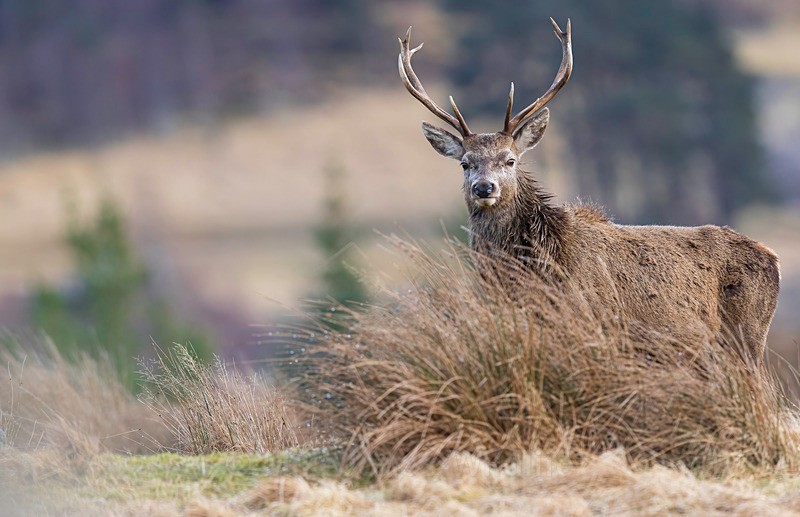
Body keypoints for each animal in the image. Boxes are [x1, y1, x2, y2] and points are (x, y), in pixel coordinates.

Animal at [398, 18, 780, 365]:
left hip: (747, 335)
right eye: (465, 163)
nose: (484, 187)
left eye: (510, 159)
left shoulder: (596, 320)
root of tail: (773, 258)